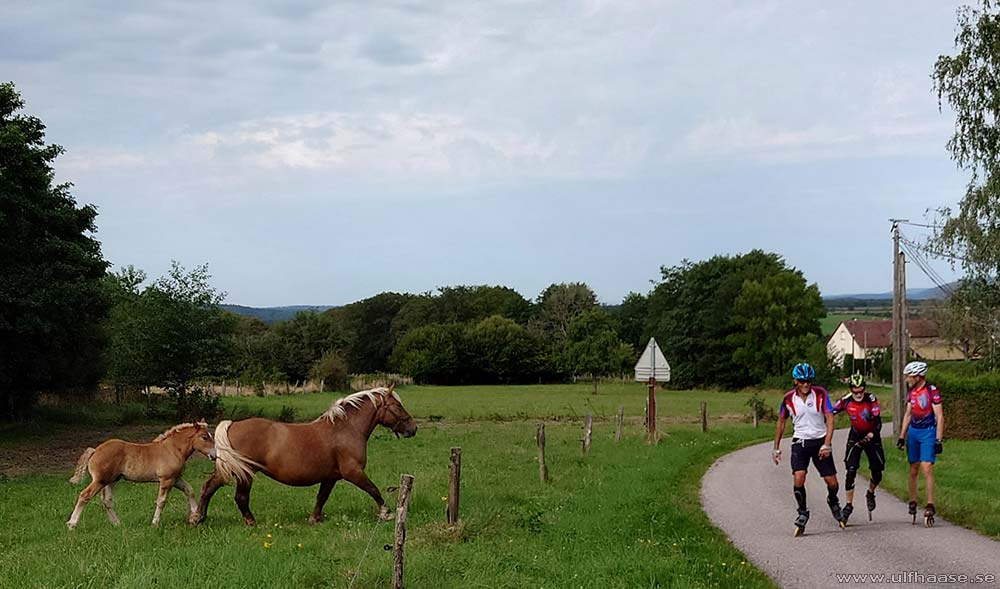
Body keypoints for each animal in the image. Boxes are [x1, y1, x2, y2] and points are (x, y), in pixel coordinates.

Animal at [67, 418, 217, 528]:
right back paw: (72, 524)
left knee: (107, 501)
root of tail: (95, 450)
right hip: (100, 480)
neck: (172, 449)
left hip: (111, 481)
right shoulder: (166, 479)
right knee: (85, 495)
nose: (215, 455)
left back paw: (117, 524)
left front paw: (195, 516)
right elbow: (161, 501)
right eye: (204, 437)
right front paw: (154, 523)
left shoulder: (176, 478)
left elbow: (189, 490)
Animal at [191, 384, 414, 524]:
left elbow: (321, 497)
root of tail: (232, 425)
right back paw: (248, 521)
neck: (345, 429)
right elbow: (373, 489)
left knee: (209, 487)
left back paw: (199, 517)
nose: (413, 428)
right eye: (398, 406)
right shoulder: (353, 472)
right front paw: (386, 513)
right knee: (239, 496)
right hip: (244, 473)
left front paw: (314, 519)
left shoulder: (330, 477)